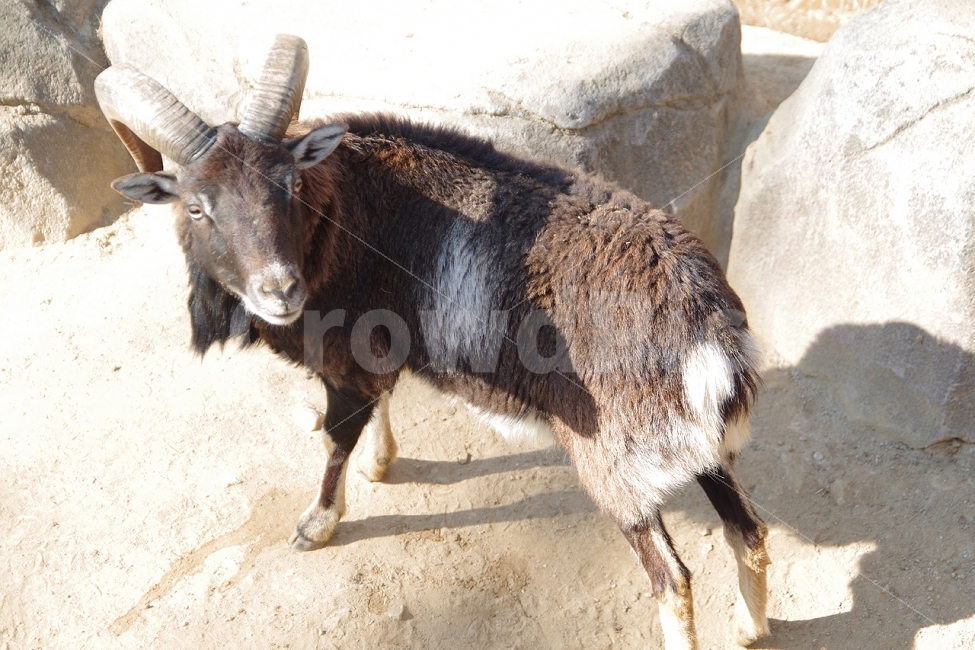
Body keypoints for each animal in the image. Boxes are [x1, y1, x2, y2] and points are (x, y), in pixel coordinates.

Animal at [95, 34, 770, 650]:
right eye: (197, 207)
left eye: (289, 186)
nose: (279, 290)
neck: (346, 214)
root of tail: (709, 338)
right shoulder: (376, 350)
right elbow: (380, 405)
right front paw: (381, 463)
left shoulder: (345, 362)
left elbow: (338, 436)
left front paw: (317, 524)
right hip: (704, 450)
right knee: (752, 535)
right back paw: (748, 629)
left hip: (616, 469)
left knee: (673, 580)